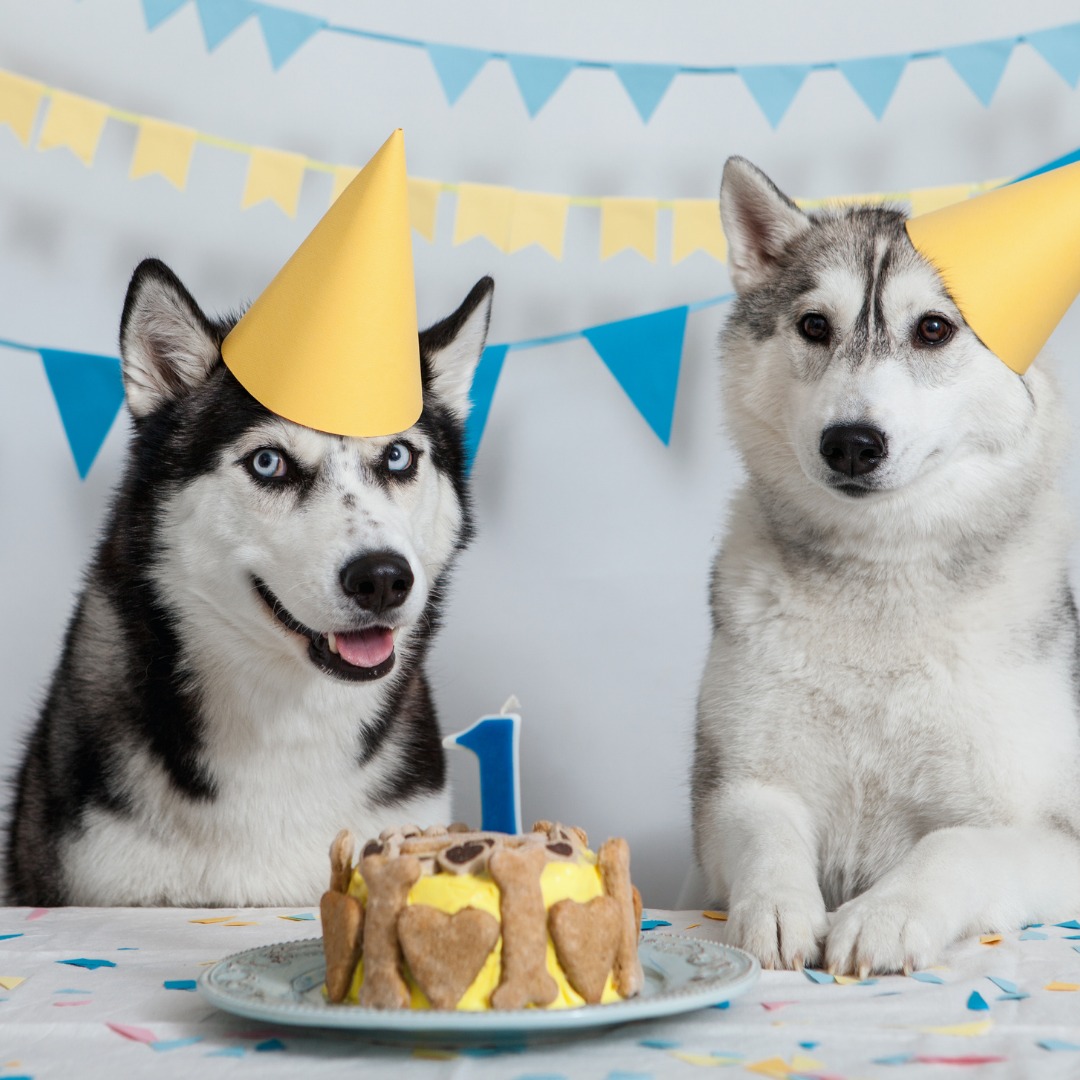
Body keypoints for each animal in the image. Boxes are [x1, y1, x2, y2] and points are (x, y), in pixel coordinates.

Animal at [691, 159, 1080, 980]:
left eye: (933, 328)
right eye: (815, 326)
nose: (851, 442)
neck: (881, 578)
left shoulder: (1056, 835)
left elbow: (958, 845)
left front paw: (886, 914)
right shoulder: (735, 792)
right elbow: (767, 833)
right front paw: (778, 908)